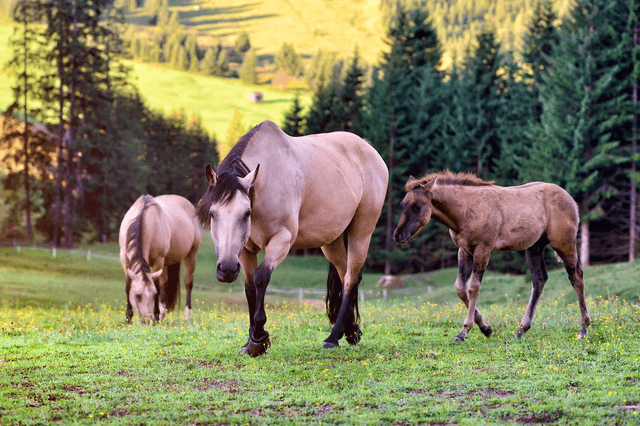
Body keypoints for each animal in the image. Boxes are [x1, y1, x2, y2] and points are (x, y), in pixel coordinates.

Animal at [119, 194, 201, 323]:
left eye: (153, 294)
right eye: (137, 296)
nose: (147, 320)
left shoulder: (158, 260)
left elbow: (158, 286)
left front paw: (156, 316)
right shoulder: (124, 258)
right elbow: (128, 286)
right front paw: (129, 318)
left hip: (190, 256)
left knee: (188, 283)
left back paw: (186, 317)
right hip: (167, 262)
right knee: (165, 284)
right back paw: (163, 315)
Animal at [196, 120, 388, 356]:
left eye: (246, 213)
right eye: (213, 213)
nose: (227, 270)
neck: (266, 182)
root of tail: (368, 148)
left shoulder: (282, 240)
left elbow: (261, 278)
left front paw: (259, 338)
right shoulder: (245, 250)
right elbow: (250, 287)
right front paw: (250, 342)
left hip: (361, 231)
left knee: (352, 278)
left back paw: (333, 337)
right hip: (331, 241)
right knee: (346, 277)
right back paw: (351, 330)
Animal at [393, 171, 591, 342]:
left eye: (417, 207)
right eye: (402, 205)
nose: (398, 235)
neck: (467, 210)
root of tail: (571, 199)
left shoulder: (483, 249)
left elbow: (473, 287)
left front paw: (464, 331)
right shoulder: (464, 250)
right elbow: (460, 288)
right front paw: (485, 328)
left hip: (564, 244)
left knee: (577, 277)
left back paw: (583, 329)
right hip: (534, 248)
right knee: (539, 280)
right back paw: (520, 330)